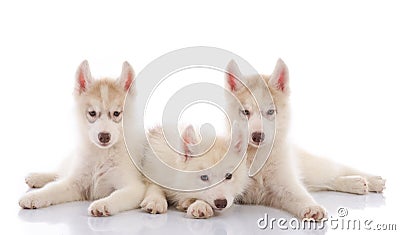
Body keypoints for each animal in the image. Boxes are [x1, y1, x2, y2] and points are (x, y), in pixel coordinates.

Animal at [18, 60, 147, 217]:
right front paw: (34, 196)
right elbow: (53, 188)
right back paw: (37, 177)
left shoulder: (134, 188)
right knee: (60, 172)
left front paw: (103, 204)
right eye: (92, 113)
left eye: (116, 113)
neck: (102, 154)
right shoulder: (76, 182)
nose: (104, 136)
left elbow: (117, 196)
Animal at [225, 58, 384, 220]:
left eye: (270, 111)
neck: (258, 156)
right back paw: (356, 183)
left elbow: (298, 193)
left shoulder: (284, 179)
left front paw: (312, 207)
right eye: (246, 112)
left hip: (310, 166)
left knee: (334, 170)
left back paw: (372, 180)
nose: (257, 136)